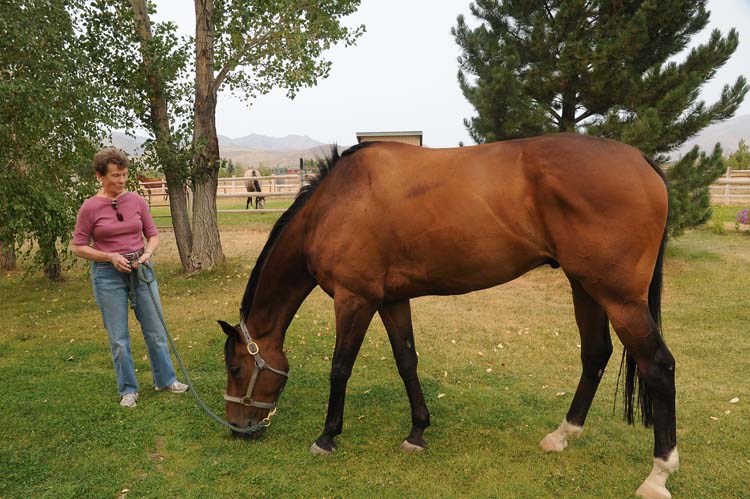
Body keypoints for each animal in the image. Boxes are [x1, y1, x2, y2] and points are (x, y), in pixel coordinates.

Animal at [216, 134, 676, 499]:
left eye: (237, 368)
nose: (237, 427)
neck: (336, 203)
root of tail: (641, 160)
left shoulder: (354, 299)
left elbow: (340, 367)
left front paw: (328, 436)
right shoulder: (390, 300)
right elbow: (406, 360)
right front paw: (418, 431)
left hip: (618, 296)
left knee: (658, 366)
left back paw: (658, 475)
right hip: (585, 285)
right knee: (595, 354)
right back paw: (562, 436)